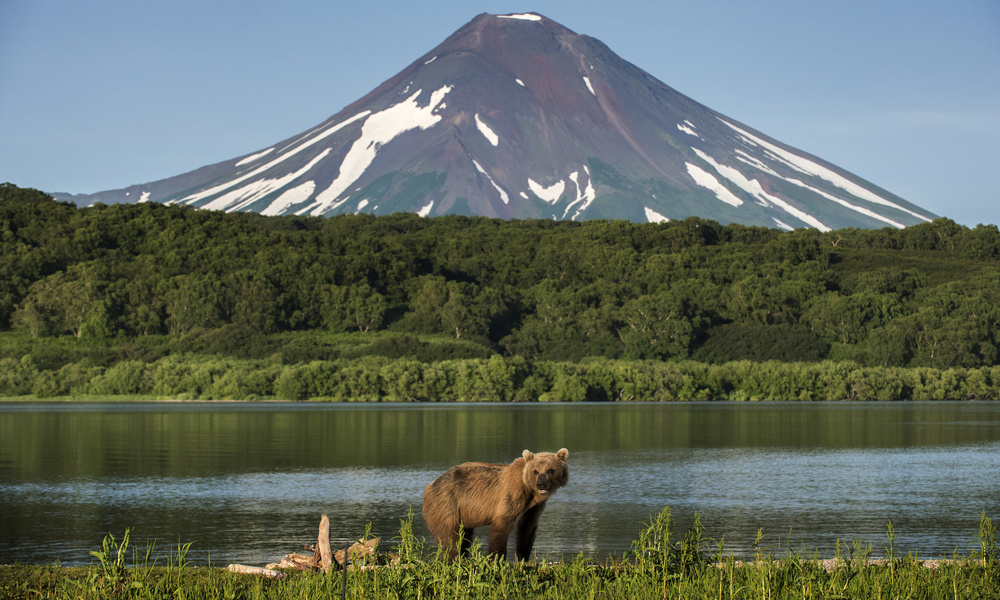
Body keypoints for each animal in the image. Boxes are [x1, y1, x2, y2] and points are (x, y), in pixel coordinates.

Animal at [422, 448, 572, 560]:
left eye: (550, 470)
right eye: (535, 471)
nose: (540, 483)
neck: (530, 491)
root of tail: (429, 486)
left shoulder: (533, 508)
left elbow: (527, 530)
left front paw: (523, 559)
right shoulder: (512, 495)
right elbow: (501, 526)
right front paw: (497, 560)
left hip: (463, 513)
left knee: (464, 537)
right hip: (446, 503)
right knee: (450, 536)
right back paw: (453, 559)